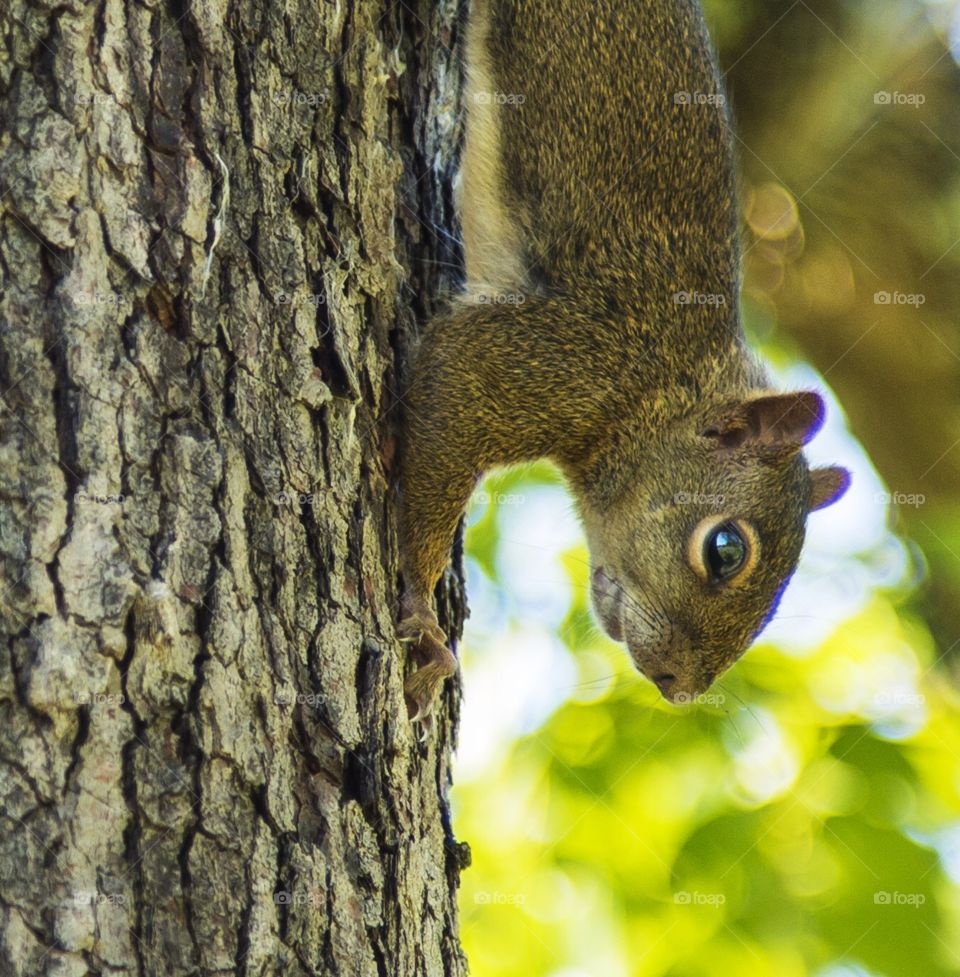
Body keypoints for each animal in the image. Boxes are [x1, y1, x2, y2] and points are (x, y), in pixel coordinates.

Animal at [397, 0, 850, 720]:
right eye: (726, 550)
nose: (680, 689)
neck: (663, 390)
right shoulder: (554, 363)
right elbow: (451, 394)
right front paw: (422, 607)